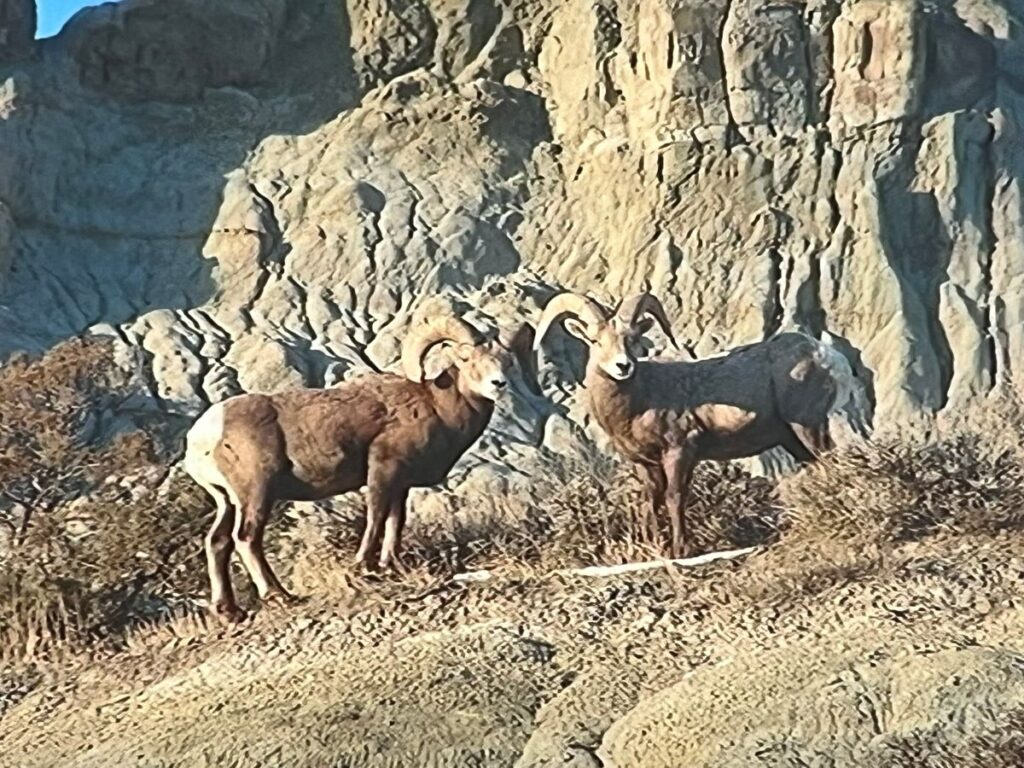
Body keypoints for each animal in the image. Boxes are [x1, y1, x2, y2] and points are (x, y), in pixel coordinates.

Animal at [184, 316, 538, 622]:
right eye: (465, 358)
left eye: (507, 361)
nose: (498, 384)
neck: (434, 406)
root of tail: (203, 435)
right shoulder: (383, 470)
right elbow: (376, 517)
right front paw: (364, 566)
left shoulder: (400, 484)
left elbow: (395, 521)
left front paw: (390, 564)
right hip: (256, 494)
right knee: (246, 539)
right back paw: (280, 596)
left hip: (227, 501)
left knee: (217, 542)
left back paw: (229, 612)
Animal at [534, 290, 857, 559]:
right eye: (596, 341)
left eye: (631, 340)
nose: (623, 366)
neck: (638, 402)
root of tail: (825, 355)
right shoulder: (645, 464)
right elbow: (651, 502)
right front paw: (653, 545)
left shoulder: (679, 452)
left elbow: (675, 497)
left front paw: (681, 550)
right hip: (792, 439)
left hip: (808, 426)